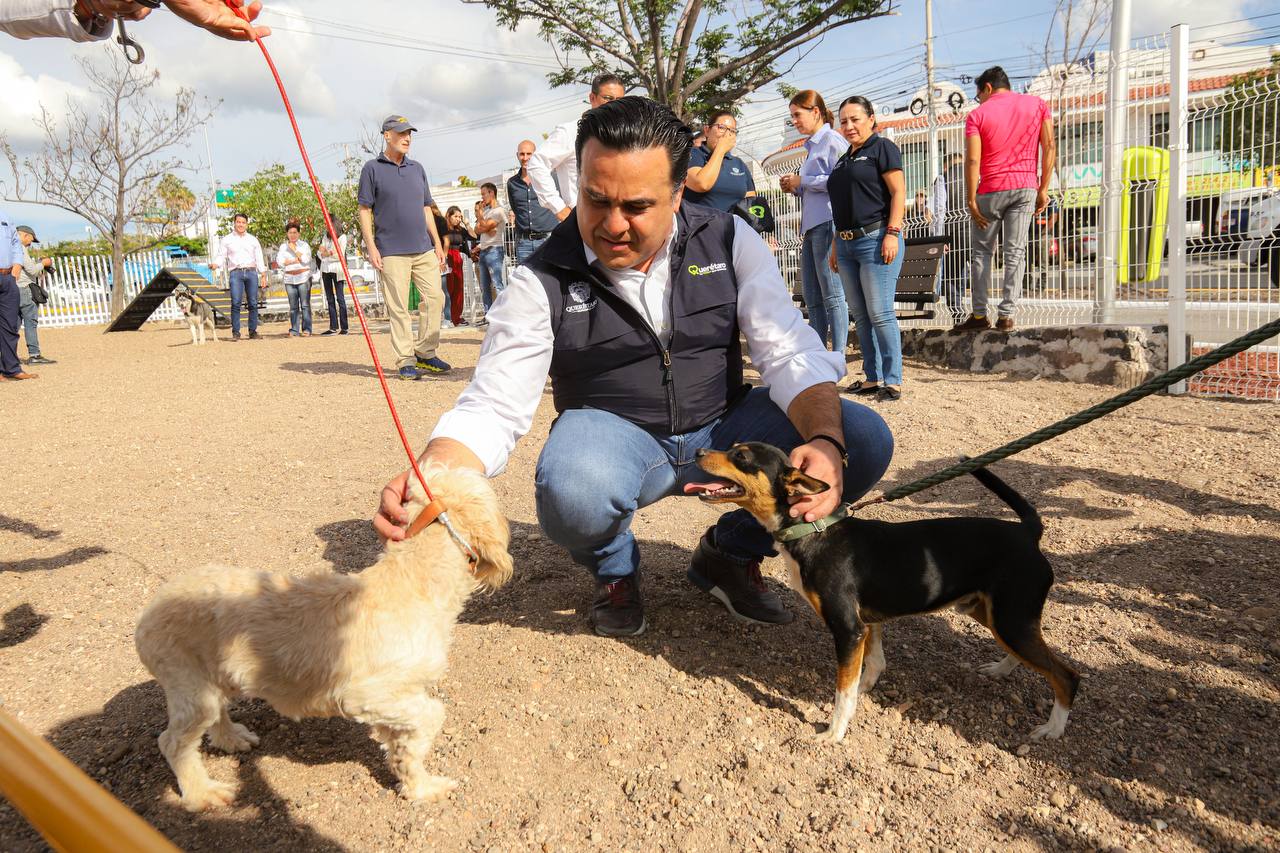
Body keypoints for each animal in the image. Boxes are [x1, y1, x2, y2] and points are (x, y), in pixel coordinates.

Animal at [131, 466, 509, 809]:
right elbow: (431, 715)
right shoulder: (369, 694)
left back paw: (233, 738)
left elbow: (403, 748)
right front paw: (425, 786)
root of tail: (147, 614)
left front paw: (417, 784)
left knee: (215, 718)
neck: (414, 579)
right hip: (190, 686)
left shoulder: (394, 702)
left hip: (214, 678)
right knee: (173, 743)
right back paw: (202, 793)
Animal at [686, 440, 1075, 742]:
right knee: (1027, 655)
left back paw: (1052, 729)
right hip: (991, 613)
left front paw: (835, 732)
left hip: (1011, 619)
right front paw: (864, 691)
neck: (812, 531)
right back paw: (1001, 669)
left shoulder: (848, 629)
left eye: (741, 456)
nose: (699, 451)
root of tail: (1027, 531)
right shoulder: (868, 624)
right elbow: (873, 664)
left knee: (1067, 676)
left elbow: (843, 691)